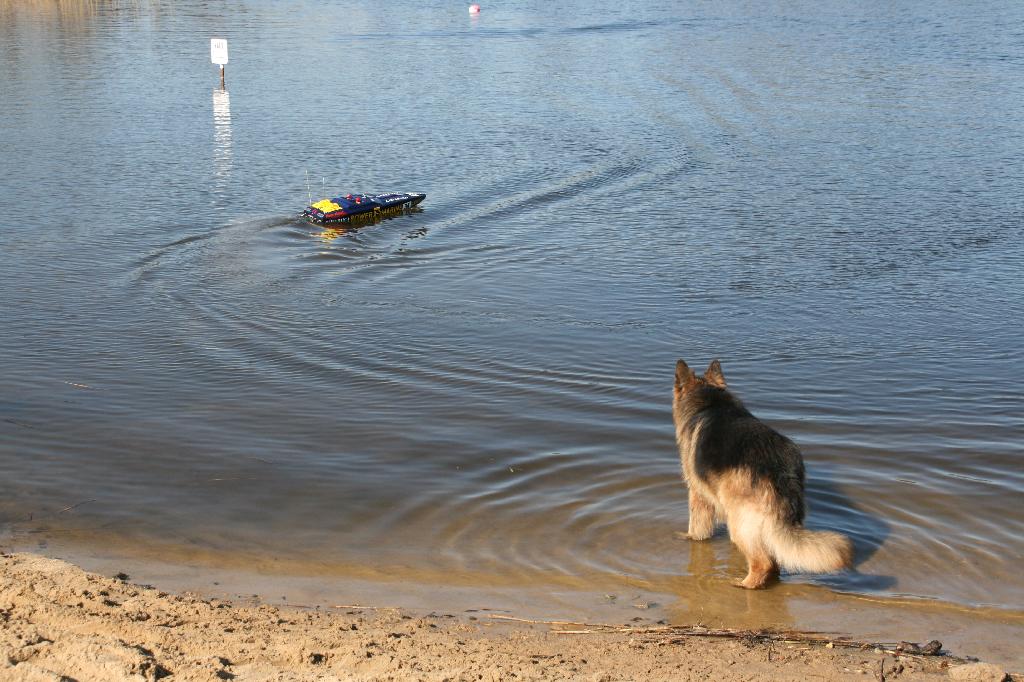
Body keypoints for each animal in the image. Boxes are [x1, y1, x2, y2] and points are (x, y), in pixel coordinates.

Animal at [673, 359, 853, 589]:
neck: (711, 403)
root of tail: (778, 468)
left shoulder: (698, 493)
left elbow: (697, 525)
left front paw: (691, 538)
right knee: (775, 558)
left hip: (739, 520)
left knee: (762, 562)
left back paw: (745, 584)